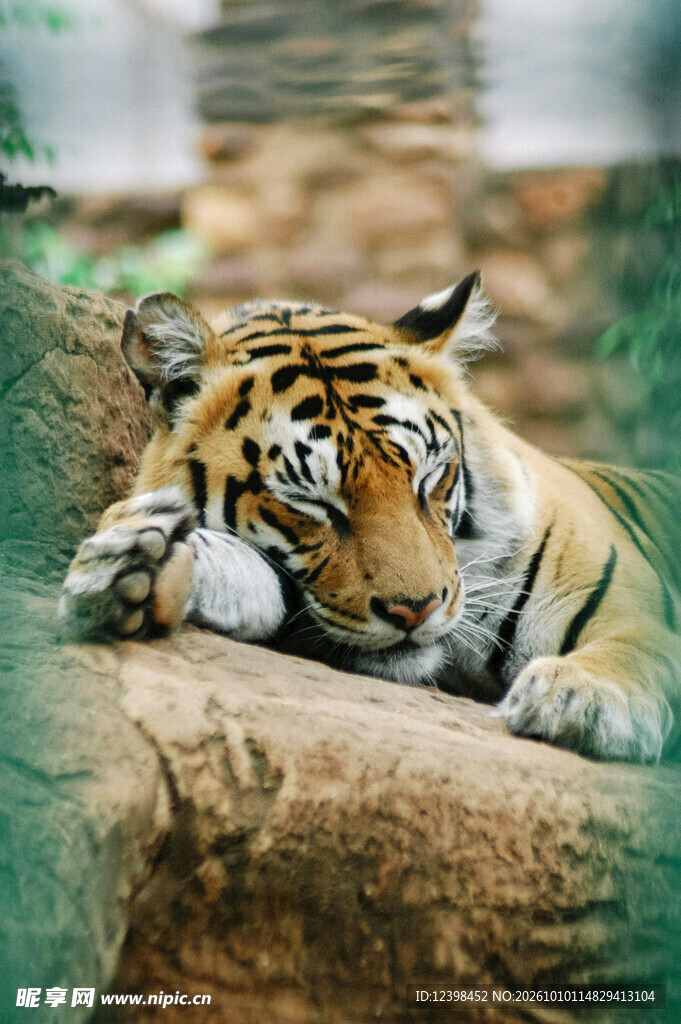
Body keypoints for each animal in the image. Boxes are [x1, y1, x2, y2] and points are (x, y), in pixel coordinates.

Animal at [59, 272, 681, 764]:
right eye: (311, 503)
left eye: (429, 478)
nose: (416, 610)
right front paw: (137, 569)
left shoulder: (625, 600)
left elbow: (639, 645)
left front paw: (577, 698)